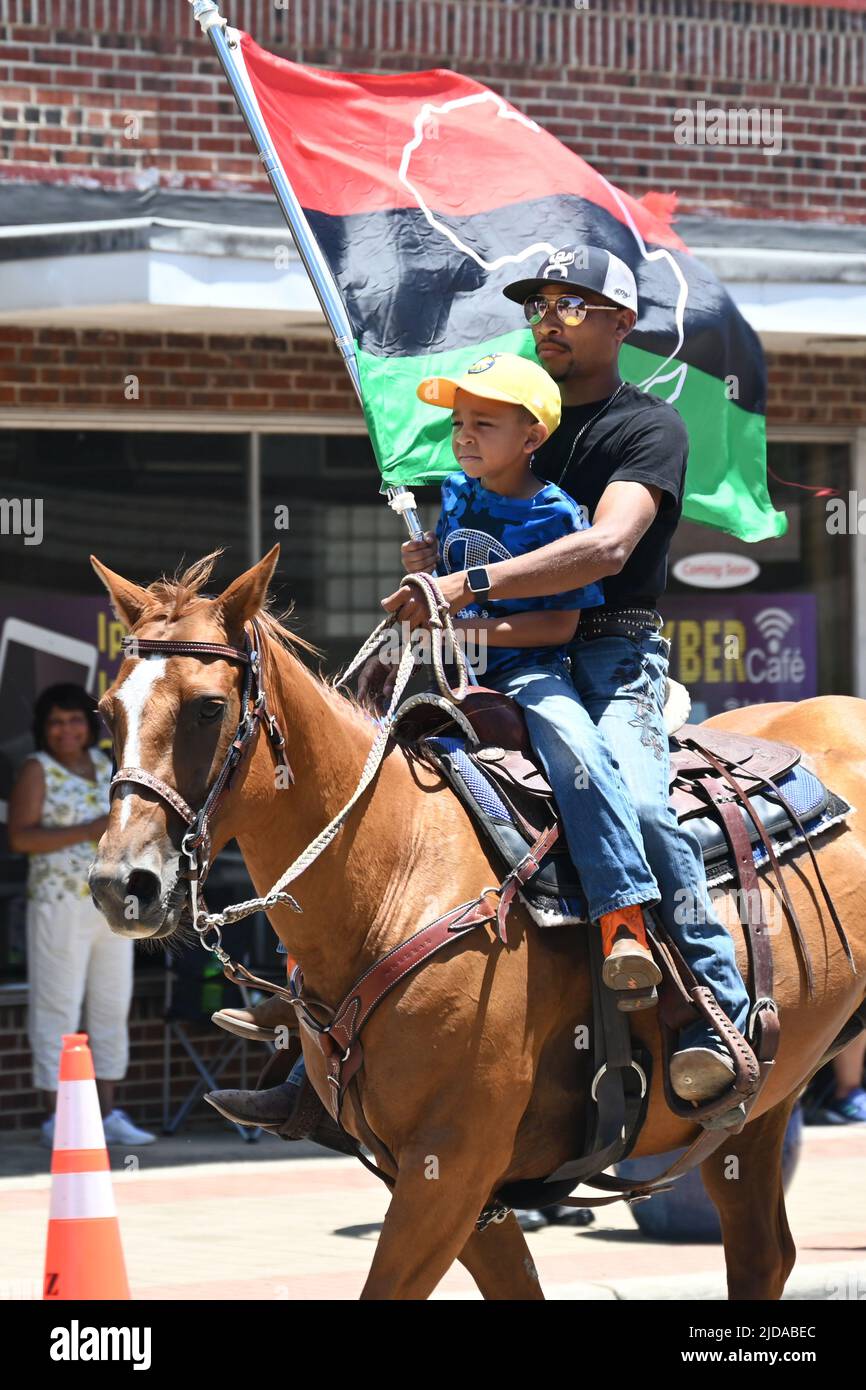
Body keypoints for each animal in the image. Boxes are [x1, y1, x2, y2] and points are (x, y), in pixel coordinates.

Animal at [89, 544, 866, 1301]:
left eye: (208, 708)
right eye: (106, 712)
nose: (120, 883)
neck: (400, 874)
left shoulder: (451, 1164)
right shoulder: (451, 1185)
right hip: (758, 1109)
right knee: (763, 1255)